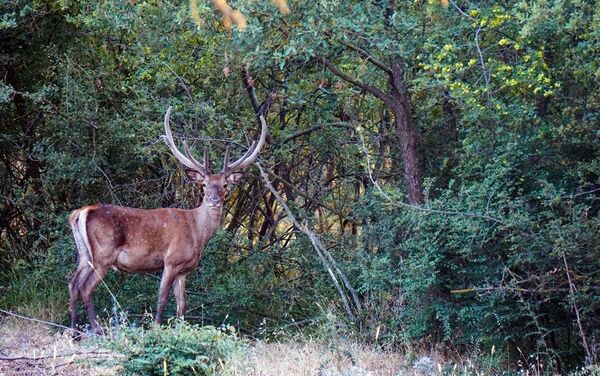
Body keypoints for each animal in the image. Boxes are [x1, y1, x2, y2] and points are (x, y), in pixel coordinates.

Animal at [68, 106, 268, 332]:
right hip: (104, 254)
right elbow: (162, 300)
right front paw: (156, 330)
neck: (197, 233)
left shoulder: (184, 270)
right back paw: (95, 330)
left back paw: (74, 331)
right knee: (85, 287)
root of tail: (80, 212)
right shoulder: (171, 261)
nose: (214, 200)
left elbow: (182, 305)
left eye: (225, 185)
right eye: (204, 184)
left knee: (73, 283)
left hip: (84, 254)